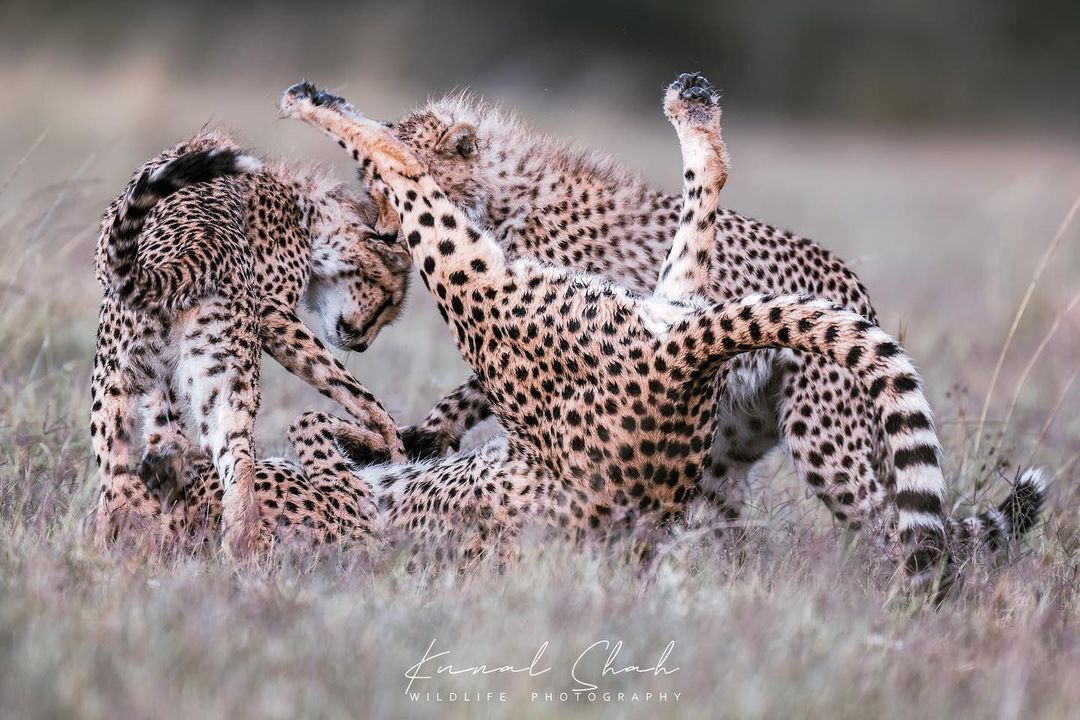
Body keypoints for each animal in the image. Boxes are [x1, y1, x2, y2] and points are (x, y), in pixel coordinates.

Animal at [90, 129, 410, 557]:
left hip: (115, 378)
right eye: (389, 299)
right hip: (215, 380)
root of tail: (201, 245)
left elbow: (352, 390)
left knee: (117, 474)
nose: (361, 345)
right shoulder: (266, 316)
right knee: (236, 461)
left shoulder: (270, 313)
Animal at [280, 74, 1045, 591]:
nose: (381, 226)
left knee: (891, 520)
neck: (502, 199)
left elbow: (484, 383)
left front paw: (425, 431)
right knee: (722, 520)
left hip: (823, 441)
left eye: (377, 190)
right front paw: (422, 433)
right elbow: (473, 394)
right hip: (723, 453)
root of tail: (855, 289)